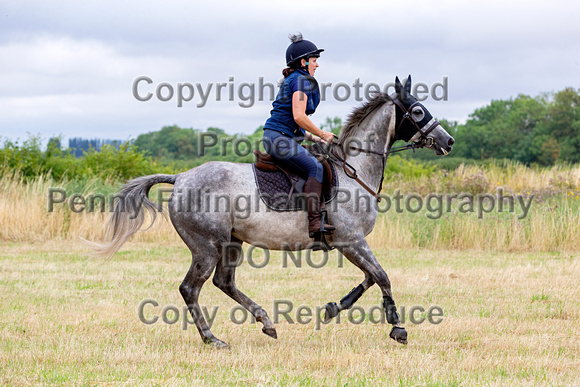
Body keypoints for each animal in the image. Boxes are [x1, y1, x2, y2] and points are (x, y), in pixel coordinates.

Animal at [88, 76, 456, 348]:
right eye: (418, 111)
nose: (448, 141)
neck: (354, 170)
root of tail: (180, 178)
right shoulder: (351, 240)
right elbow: (381, 276)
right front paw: (397, 327)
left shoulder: (349, 243)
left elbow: (368, 278)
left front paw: (332, 309)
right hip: (206, 246)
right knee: (191, 288)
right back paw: (212, 338)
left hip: (231, 242)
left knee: (224, 282)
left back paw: (266, 322)